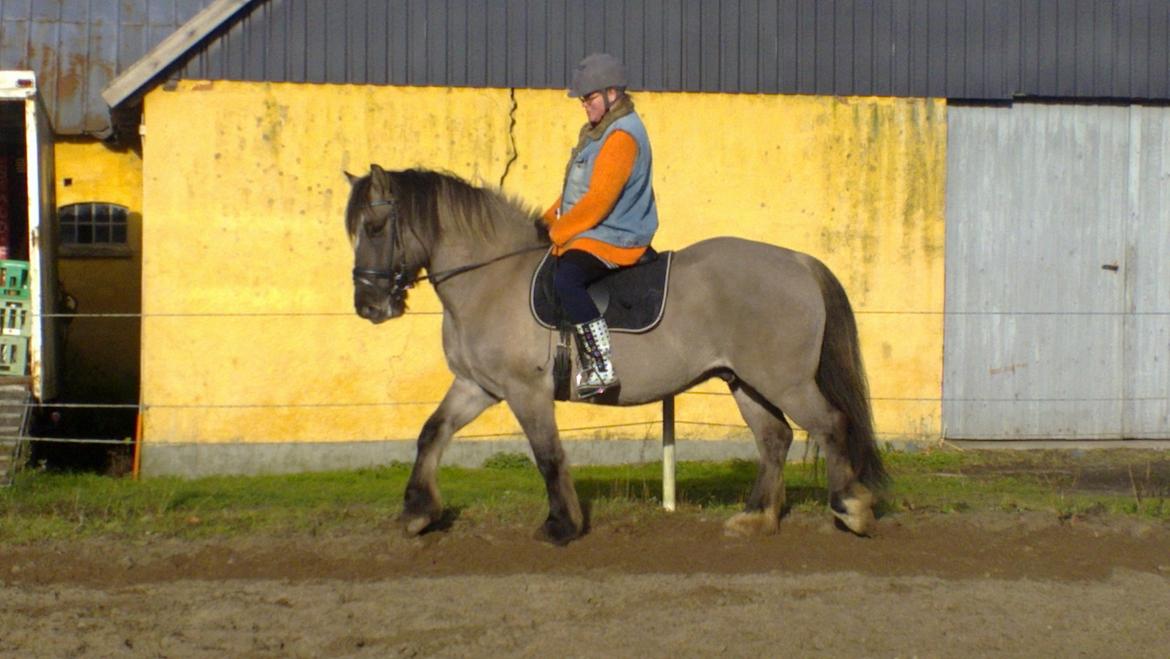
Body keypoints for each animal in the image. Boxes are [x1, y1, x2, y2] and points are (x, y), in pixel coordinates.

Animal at [343, 166, 884, 547]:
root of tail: (797, 261)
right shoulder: (477, 386)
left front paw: (561, 525)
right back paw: (757, 518)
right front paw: (418, 512)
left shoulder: (525, 390)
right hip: (744, 380)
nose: (368, 306)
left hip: (785, 381)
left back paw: (851, 509)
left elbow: (547, 455)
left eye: (376, 226)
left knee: (830, 424)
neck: (493, 279)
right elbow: (431, 433)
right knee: (774, 439)